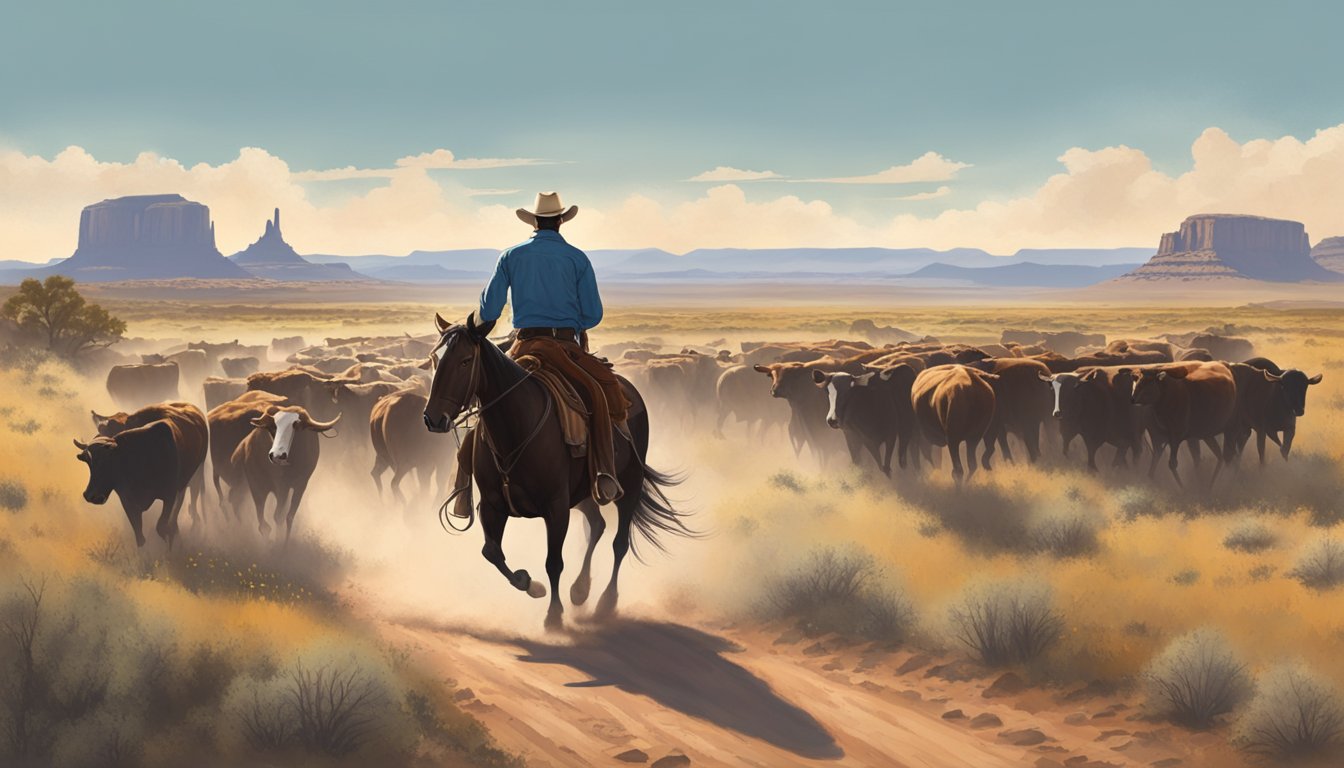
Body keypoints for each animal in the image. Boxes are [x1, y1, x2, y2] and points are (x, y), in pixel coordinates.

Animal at [419, 312, 693, 632]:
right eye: (435, 358)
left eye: (465, 360)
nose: (433, 418)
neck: (515, 427)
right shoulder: (491, 505)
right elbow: (492, 552)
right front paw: (530, 583)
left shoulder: (556, 507)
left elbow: (554, 562)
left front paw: (553, 616)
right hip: (584, 494)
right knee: (597, 524)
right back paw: (580, 590)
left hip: (630, 484)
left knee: (619, 542)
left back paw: (605, 602)